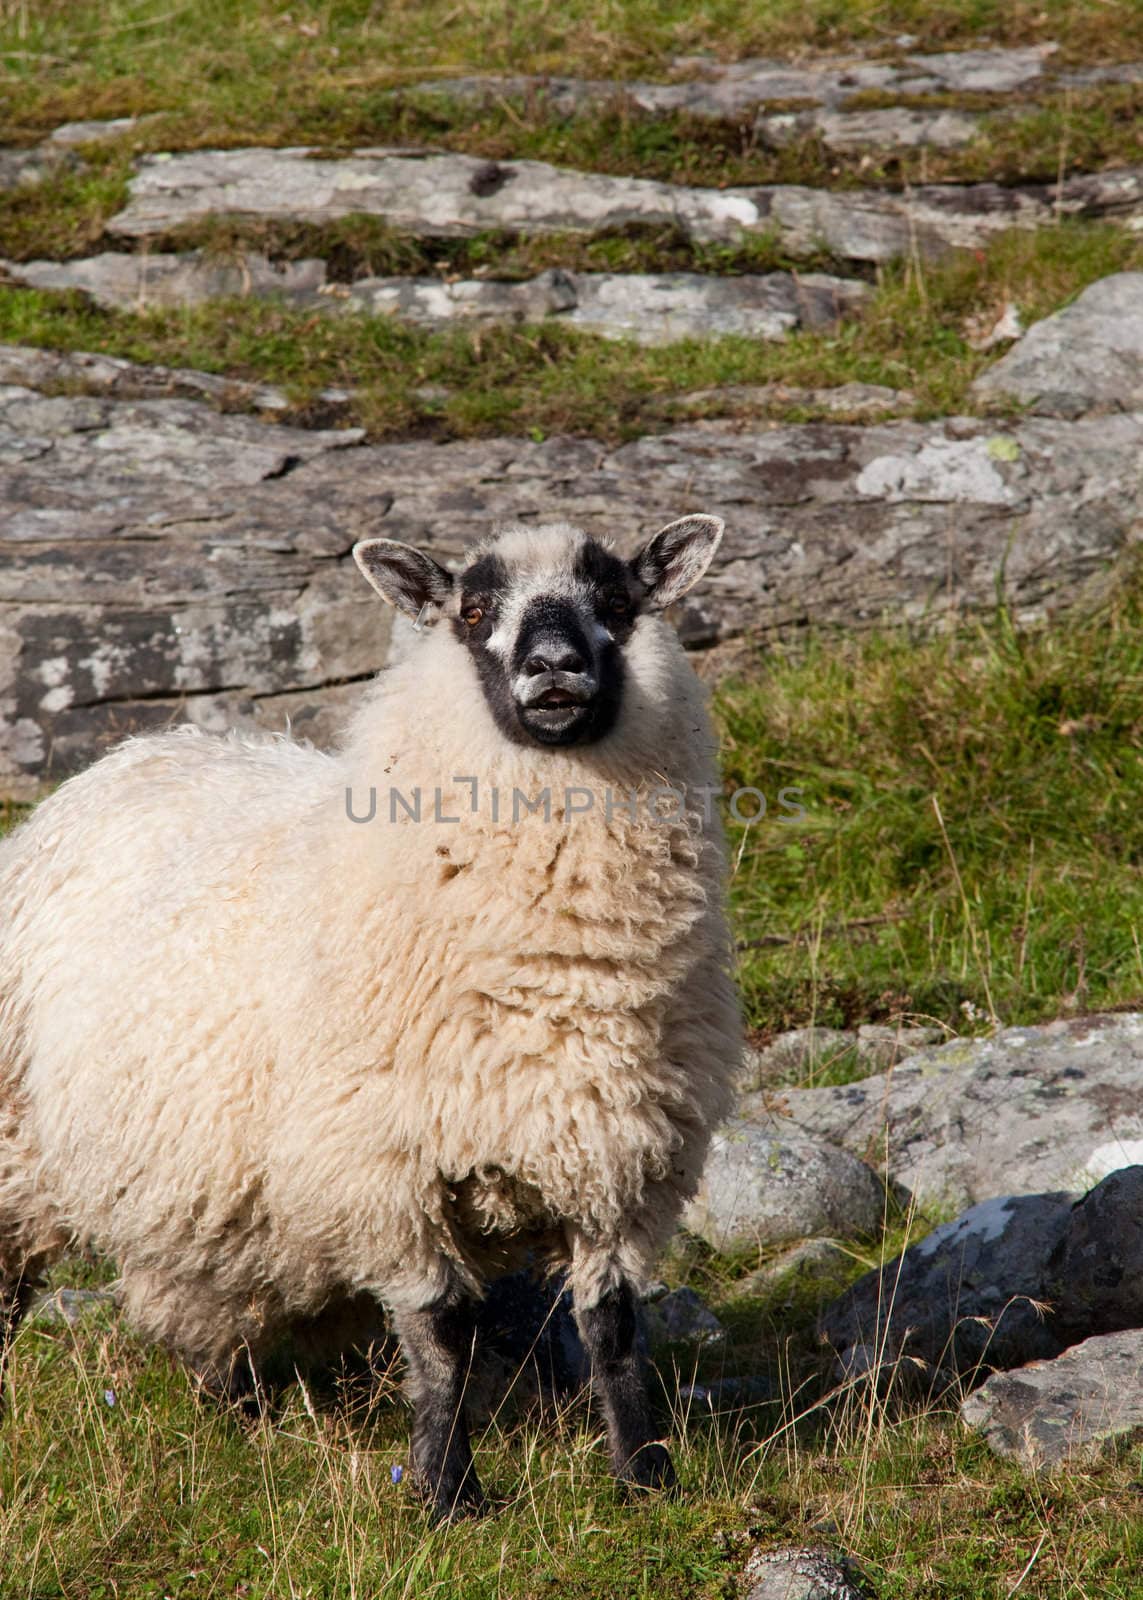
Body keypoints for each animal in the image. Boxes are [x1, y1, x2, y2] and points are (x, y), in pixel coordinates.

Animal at [0, 518, 739, 1516]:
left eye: (618, 603)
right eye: (474, 611)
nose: (553, 667)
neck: (553, 967)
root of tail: (143, 749)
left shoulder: (617, 1157)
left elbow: (612, 1326)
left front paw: (644, 1478)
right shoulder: (386, 1163)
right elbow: (443, 1334)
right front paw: (448, 1494)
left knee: (212, 1301)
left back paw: (239, 1416)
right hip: (18, 1136)